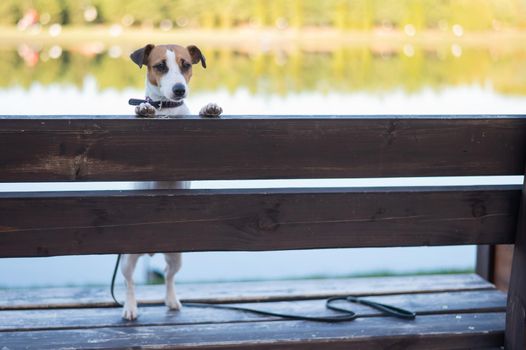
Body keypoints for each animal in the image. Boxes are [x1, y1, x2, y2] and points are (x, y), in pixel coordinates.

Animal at [122, 43, 223, 320]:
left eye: (186, 64)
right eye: (160, 66)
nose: (180, 90)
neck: (167, 111)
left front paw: (208, 108)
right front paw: (143, 109)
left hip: (177, 254)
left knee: (168, 275)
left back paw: (172, 300)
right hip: (127, 257)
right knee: (129, 281)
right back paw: (130, 307)